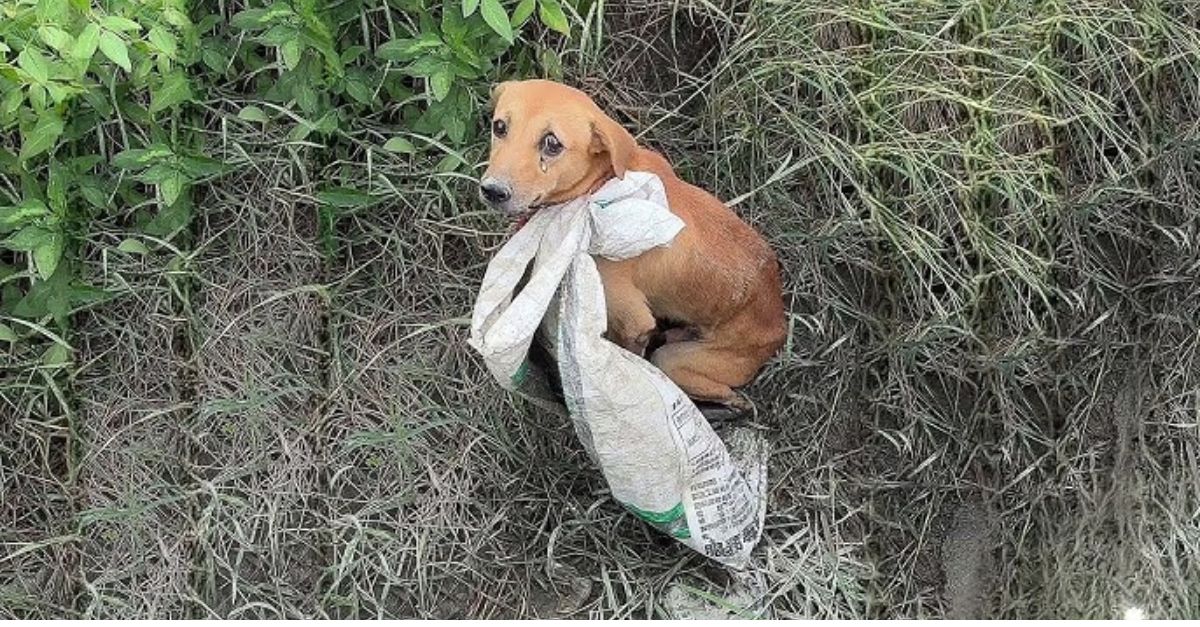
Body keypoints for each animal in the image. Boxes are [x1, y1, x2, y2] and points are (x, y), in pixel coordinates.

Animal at [477, 79, 787, 410]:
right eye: (499, 126)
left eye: (552, 143)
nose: (492, 191)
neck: (600, 184)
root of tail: (778, 324)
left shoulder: (634, 321)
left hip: (678, 360)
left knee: (730, 395)